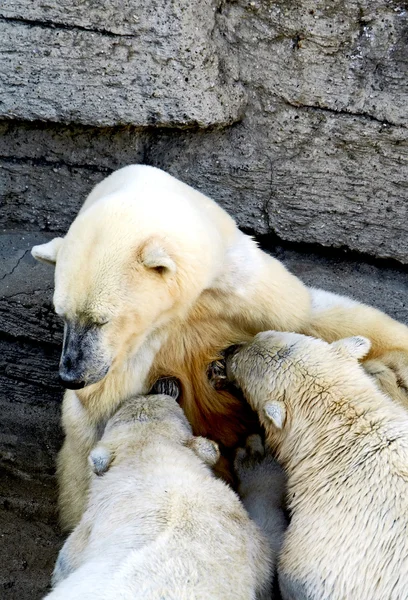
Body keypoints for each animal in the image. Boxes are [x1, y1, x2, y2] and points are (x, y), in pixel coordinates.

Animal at [31, 163, 408, 528]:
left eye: (101, 319)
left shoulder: (241, 288)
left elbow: (307, 315)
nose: (71, 375)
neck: (184, 308)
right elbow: (97, 423)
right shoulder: (132, 357)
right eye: (61, 314)